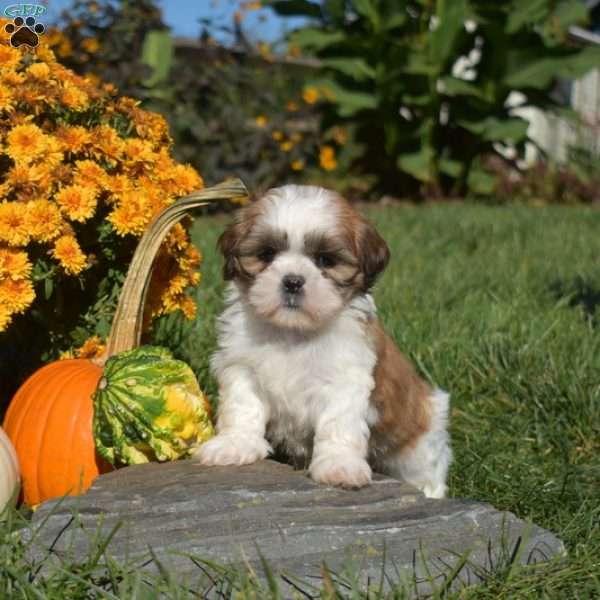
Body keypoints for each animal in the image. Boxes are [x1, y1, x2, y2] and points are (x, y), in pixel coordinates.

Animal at [195, 185, 452, 500]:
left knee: (427, 468)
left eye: (325, 261)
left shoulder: (345, 378)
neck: (292, 332)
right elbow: (243, 406)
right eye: (267, 254)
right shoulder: (242, 367)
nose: (292, 281)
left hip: (419, 438)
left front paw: (338, 466)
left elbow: (337, 423)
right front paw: (234, 444)